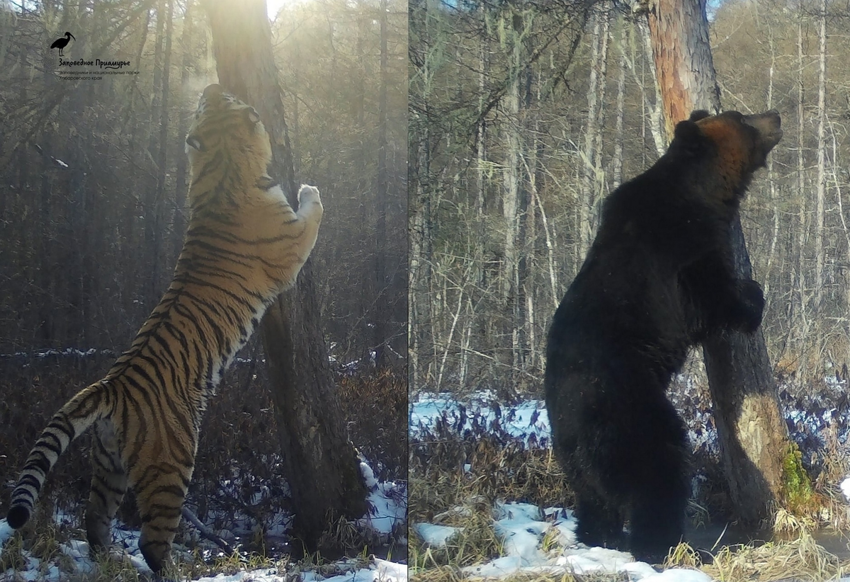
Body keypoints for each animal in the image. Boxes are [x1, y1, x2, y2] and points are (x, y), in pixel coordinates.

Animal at [4, 84, 322, 576]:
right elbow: (314, 213)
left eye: (209, 103)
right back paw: (170, 570)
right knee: (153, 541)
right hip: (171, 465)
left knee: (94, 518)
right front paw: (311, 187)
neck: (222, 165)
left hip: (109, 465)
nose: (211, 86)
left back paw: (109, 560)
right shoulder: (291, 245)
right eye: (225, 100)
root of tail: (111, 386)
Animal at [548, 109, 780, 564]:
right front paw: (753, 298)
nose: (774, 116)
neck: (704, 194)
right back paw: (665, 545)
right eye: (742, 119)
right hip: (630, 411)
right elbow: (712, 298)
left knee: (593, 502)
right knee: (659, 470)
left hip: (573, 457)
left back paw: (600, 539)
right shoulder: (680, 251)